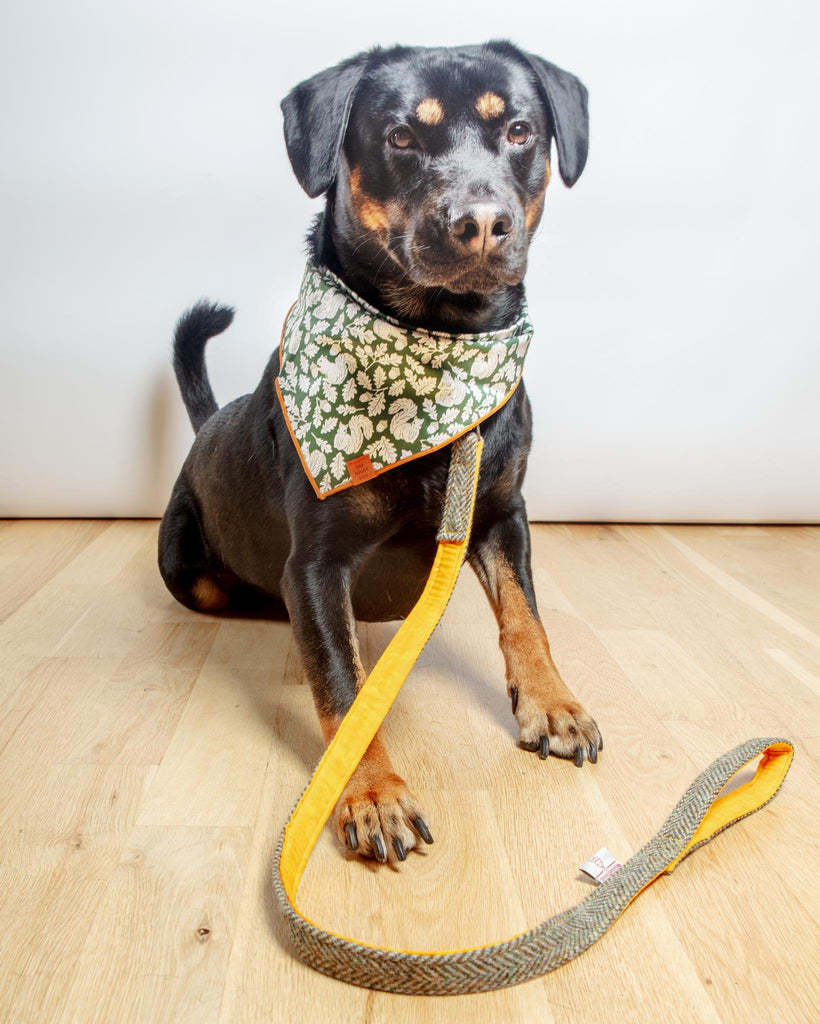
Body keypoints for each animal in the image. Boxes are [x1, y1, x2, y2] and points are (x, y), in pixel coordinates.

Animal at [158, 44, 601, 868]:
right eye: (401, 137)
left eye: (520, 130)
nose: (480, 222)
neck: (441, 347)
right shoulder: (316, 563)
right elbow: (344, 686)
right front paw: (371, 794)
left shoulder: (502, 511)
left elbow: (526, 617)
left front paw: (552, 704)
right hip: (188, 563)